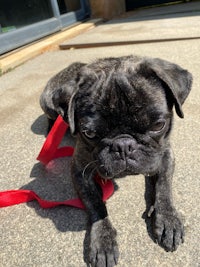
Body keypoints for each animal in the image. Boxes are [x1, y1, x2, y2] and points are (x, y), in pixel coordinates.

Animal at [39, 55, 192, 266]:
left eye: (158, 125)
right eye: (89, 133)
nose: (123, 145)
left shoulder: (165, 155)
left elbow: (164, 187)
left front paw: (168, 219)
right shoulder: (80, 170)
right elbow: (96, 204)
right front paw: (103, 240)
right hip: (46, 102)